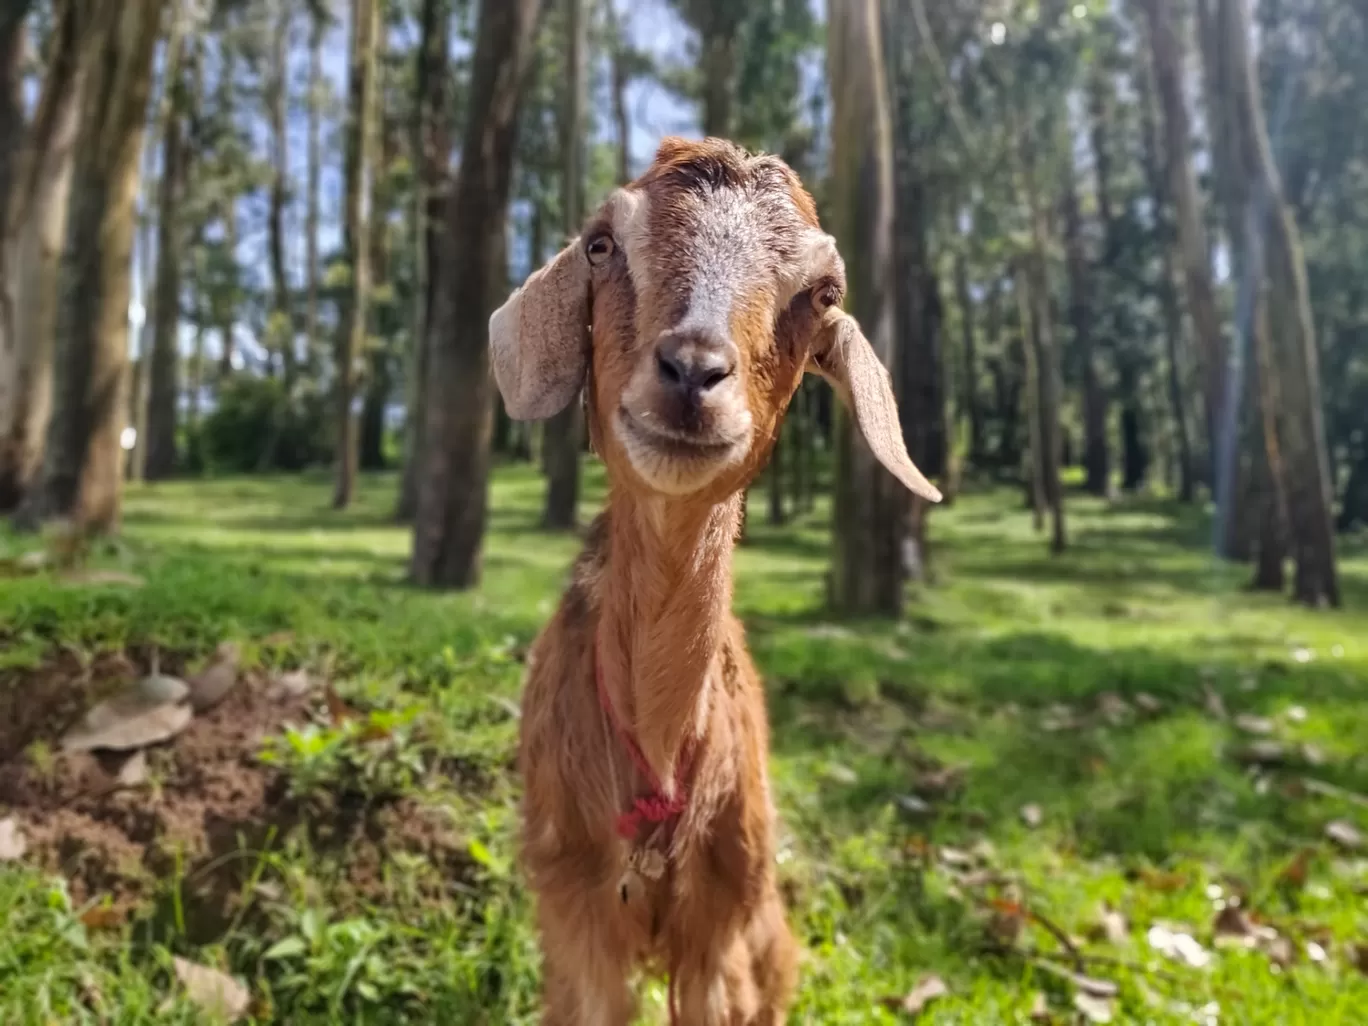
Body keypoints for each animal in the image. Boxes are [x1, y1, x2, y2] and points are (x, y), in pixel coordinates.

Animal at [487, 138, 946, 1026]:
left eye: (823, 293)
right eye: (601, 243)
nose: (693, 370)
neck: (662, 764)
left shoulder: (724, 922)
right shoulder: (572, 904)